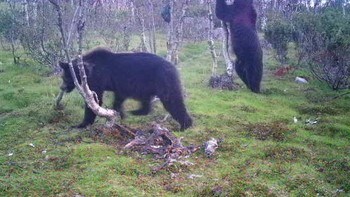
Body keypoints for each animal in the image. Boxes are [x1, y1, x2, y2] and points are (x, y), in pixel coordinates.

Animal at [58, 48, 193, 131]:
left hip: (163, 80)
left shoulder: (98, 79)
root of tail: (172, 66)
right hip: (146, 85)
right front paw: (120, 113)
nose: (62, 87)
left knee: (172, 99)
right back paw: (136, 111)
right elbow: (118, 98)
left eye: (65, 77)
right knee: (147, 102)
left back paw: (185, 125)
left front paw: (81, 124)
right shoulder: (119, 86)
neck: (87, 71)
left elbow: (95, 100)